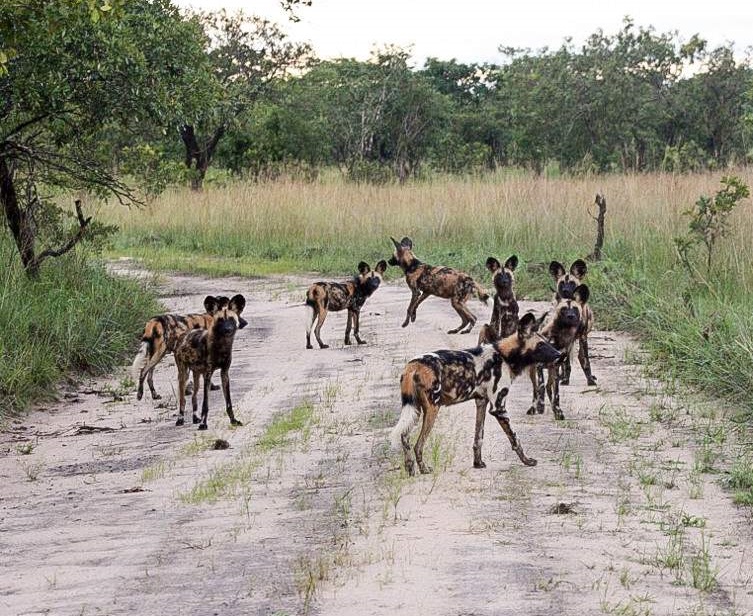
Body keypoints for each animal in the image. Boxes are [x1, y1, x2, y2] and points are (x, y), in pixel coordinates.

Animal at [173, 294, 244, 428]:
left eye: (231, 319)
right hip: (183, 375)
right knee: (182, 399)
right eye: (220, 320)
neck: (222, 347)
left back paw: (195, 418)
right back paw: (180, 419)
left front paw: (233, 420)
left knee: (194, 396)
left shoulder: (224, 374)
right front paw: (203, 424)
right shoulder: (208, 374)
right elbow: (205, 404)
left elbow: (228, 403)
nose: (228, 329)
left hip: (196, 376)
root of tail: (183, 335)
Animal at [390, 312, 560, 476]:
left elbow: (479, 438)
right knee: (418, 445)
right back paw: (424, 469)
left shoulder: (481, 402)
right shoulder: (499, 408)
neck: (504, 355)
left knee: (404, 437)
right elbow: (515, 438)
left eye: (547, 341)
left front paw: (478, 463)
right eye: (541, 344)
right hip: (432, 409)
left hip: (414, 409)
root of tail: (413, 365)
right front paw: (527, 461)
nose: (559, 354)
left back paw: (410, 469)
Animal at [524, 286, 592, 422]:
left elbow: (556, 394)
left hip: (551, 370)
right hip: (534, 370)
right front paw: (540, 406)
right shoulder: (539, 366)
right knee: (536, 388)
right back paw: (534, 408)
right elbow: (540, 387)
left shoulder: (555, 367)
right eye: (564, 309)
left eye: (575, 309)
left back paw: (553, 409)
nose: (570, 316)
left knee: (548, 387)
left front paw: (558, 411)